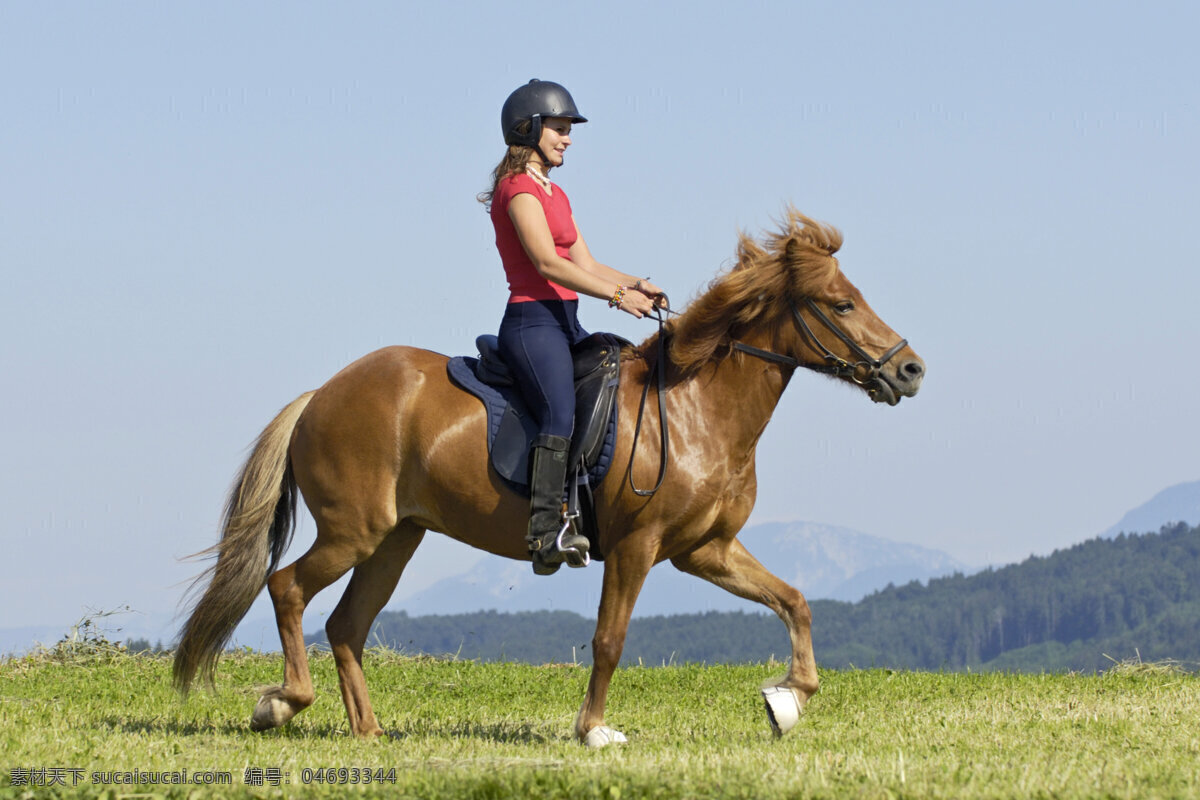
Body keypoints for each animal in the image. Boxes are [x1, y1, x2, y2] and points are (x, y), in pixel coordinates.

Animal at [174, 211, 926, 743]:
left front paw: (787, 700)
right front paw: (592, 731)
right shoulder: (636, 548)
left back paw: (368, 730)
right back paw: (281, 705)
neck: (694, 408)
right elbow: (609, 641)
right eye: (842, 303)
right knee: (287, 588)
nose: (911, 369)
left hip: (395, 540)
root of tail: (320, 396)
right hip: (352, 532)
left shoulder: (704, 550)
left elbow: (795, 601)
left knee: (345, 625)